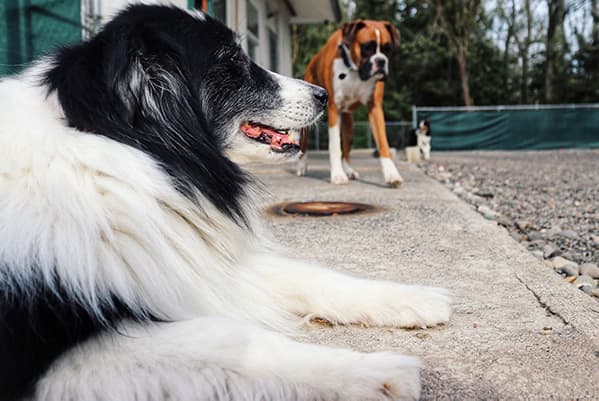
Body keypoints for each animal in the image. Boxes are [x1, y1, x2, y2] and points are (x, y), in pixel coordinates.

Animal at [296, 20, 404, 186]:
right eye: (367, 47)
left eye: (387, 49)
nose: (381, 61)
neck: (354, 70)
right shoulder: (333, 109)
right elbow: (335, 146)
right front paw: (338, 175)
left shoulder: (375, 108)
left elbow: (383, 143)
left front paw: (391, 174)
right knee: (304, 143)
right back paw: (302, 166)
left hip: (349, 122)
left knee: (346, 149)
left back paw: (349, 170)